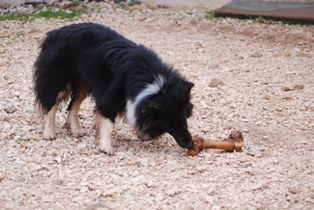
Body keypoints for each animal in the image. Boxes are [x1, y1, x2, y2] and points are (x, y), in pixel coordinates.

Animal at [32, 23, 194, 154]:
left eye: (184, 122)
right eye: (170, 128)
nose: (191, 145)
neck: (155, 84)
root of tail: (53, 34)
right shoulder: (112, 92)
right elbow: (108, 120)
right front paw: (106, 148)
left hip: (83, 81)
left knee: (74, 104)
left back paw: (76, 130)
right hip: (59, 76)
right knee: (52, 103)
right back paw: (49, 133)